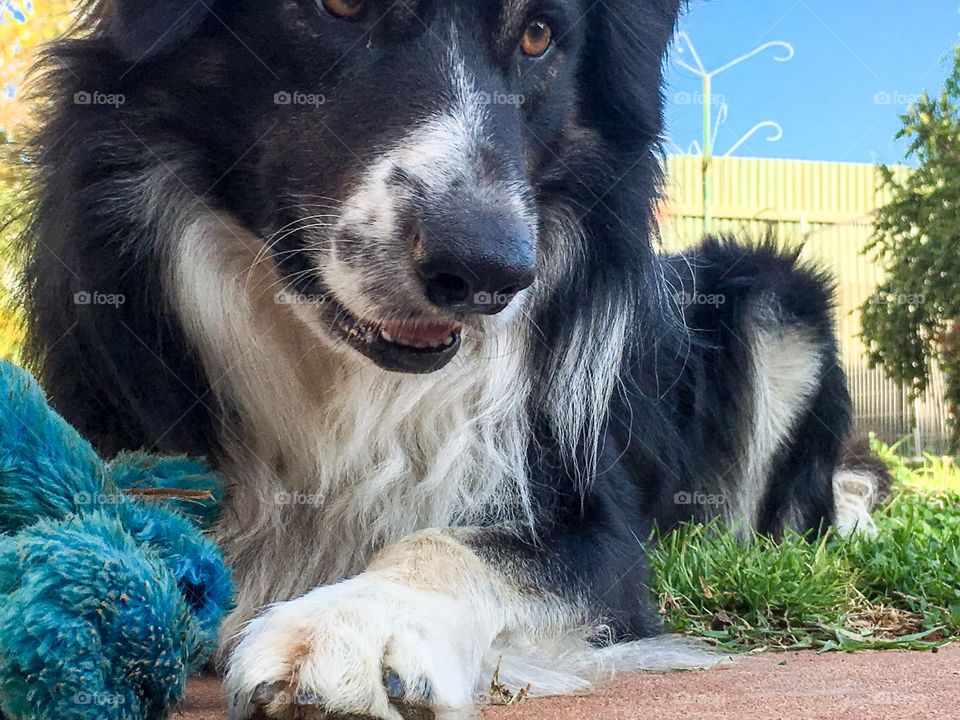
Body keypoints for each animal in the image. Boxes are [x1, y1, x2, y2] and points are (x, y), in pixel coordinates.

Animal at [24, 1, 884, 720]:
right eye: (339, 5)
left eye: (538, 37)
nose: (489, 274)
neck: (345, 371)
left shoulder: (593, 525)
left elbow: (455, 544)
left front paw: (352, 623)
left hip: (770, 296)